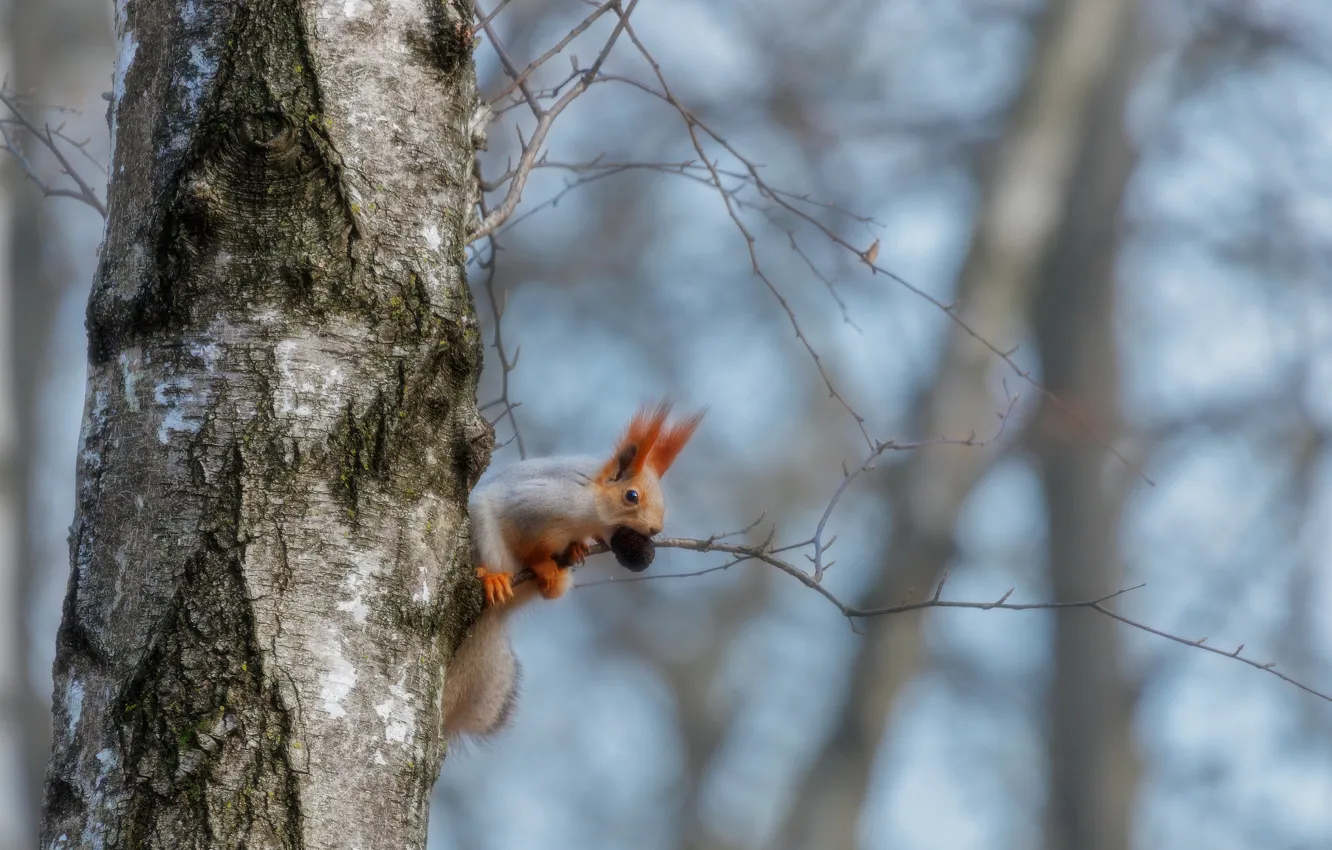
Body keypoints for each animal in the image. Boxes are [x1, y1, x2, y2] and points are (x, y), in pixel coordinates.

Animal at [439, 399, 708, 740]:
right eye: (631, 496)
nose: (655, 529)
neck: (589, 510)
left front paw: (577, 548)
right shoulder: (533, 505)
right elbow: (526, 544)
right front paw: (542, 563)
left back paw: (557, 578)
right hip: (484, 535)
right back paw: (496, 578)